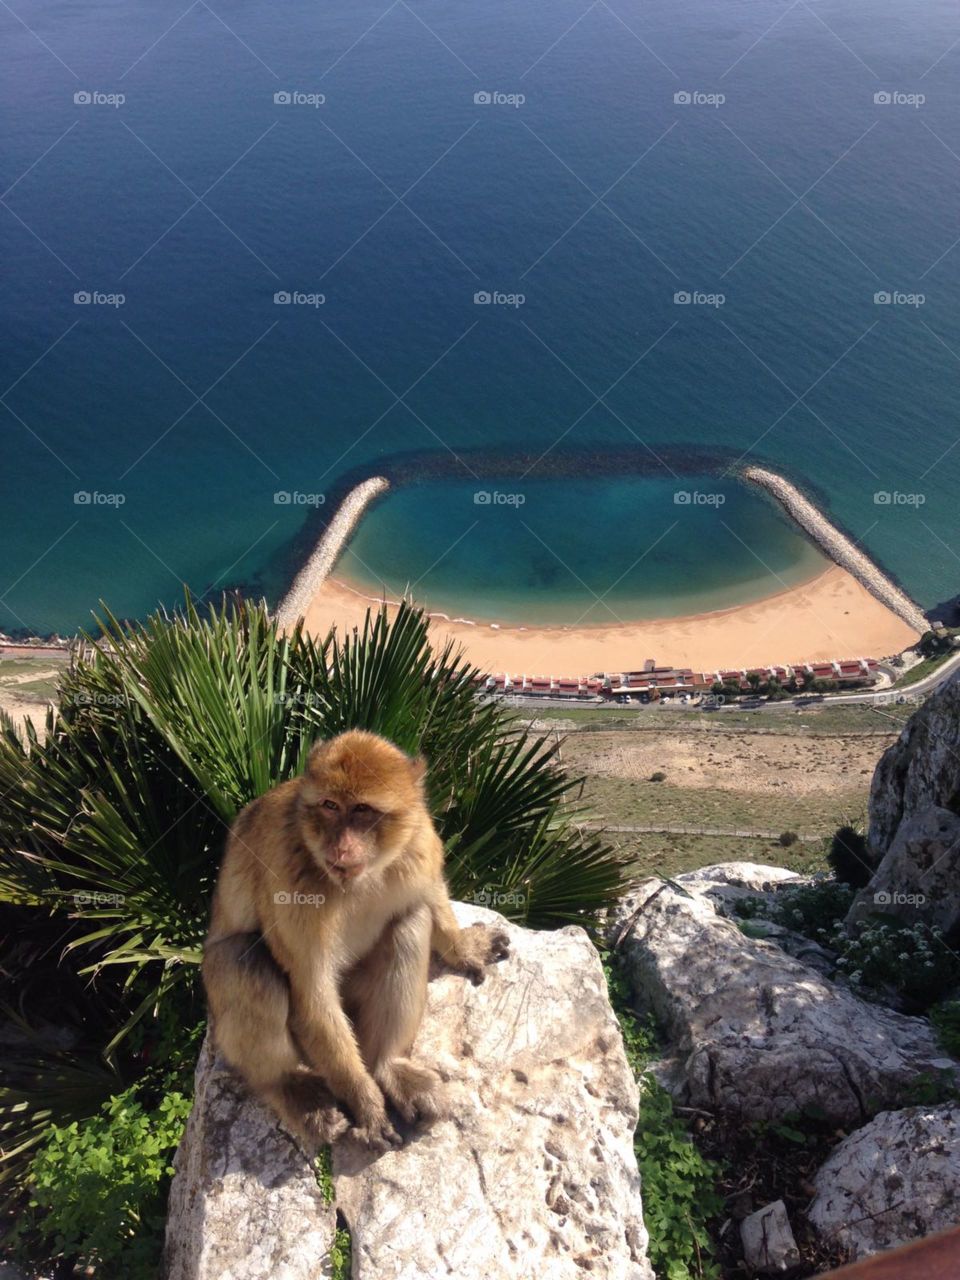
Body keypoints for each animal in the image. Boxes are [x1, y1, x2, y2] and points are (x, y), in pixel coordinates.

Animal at [203, 727, 512, 1157]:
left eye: (363, 810)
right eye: (330, 806)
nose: (340, 846)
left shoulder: (418, 842)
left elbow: (427, 894)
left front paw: (462, 947)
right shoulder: (287, 875)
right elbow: (312, 993)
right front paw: (366, 1104)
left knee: (408, 923)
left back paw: (387, 1065)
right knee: (242, 960)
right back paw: (289, 1085)